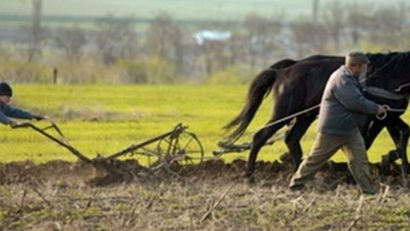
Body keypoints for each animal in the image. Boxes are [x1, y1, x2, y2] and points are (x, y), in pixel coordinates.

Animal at [221, 52, 410, 180]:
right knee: (260, 136)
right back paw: (249, 175)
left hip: (305, 116)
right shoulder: (379, 116)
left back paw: (300, 174)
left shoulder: (389, 115)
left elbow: (402, 136)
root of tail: (282, 72)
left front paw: (402, 169)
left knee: (291, 139)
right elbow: (369, 141)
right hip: (284, 112)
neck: (388, 76)